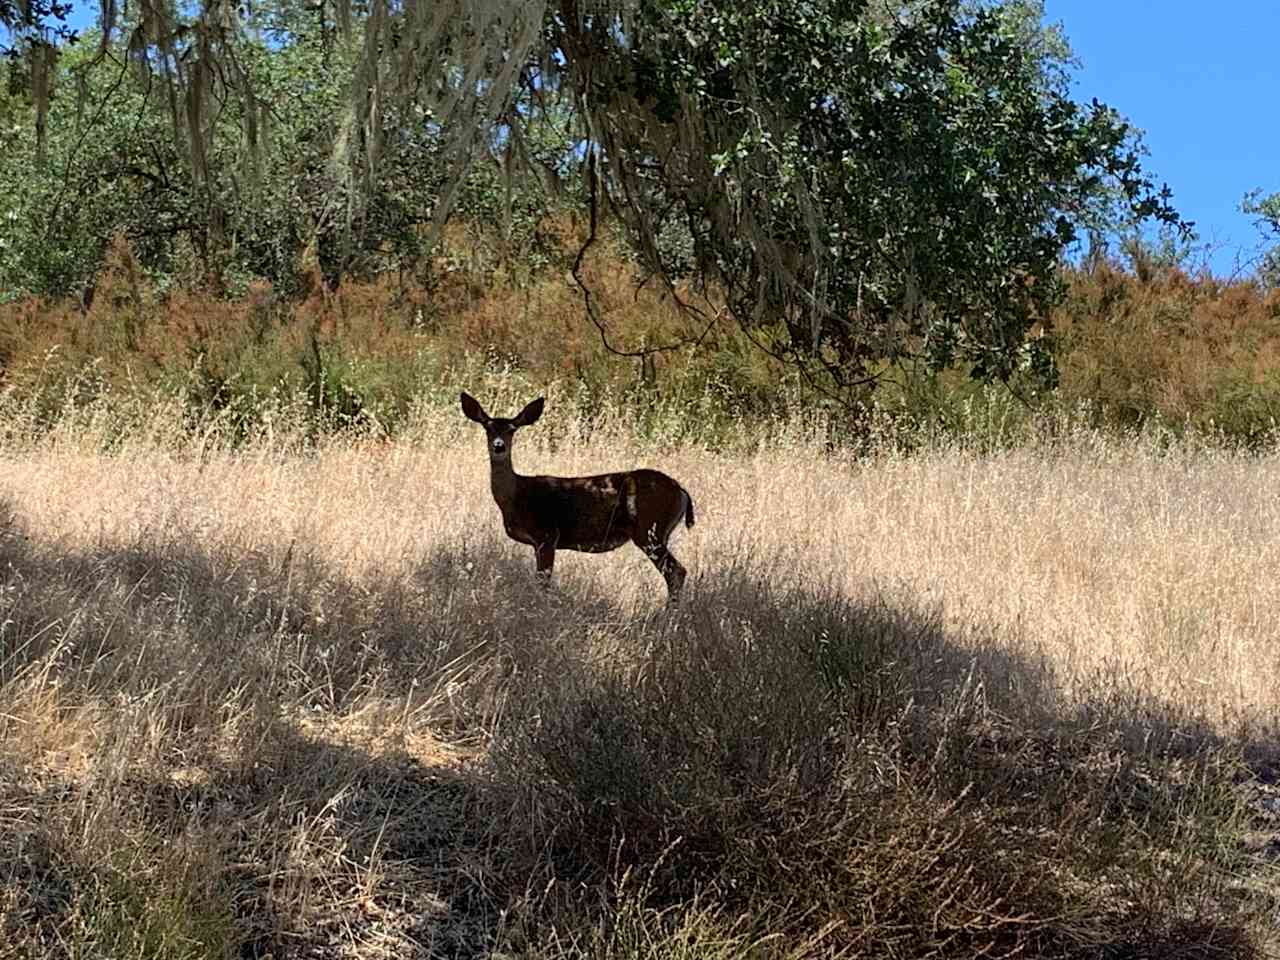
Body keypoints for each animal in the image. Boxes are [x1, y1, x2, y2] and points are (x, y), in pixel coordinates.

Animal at [463, 391, 701, 601]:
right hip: (657, 532)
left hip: (649, 529)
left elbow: (543, 582)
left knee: (676, 572)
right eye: (487, 428)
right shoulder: (539, 542)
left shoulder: (547, 534)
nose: (499, 446)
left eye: (512, 430)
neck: (517, 496)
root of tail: (682, 491)